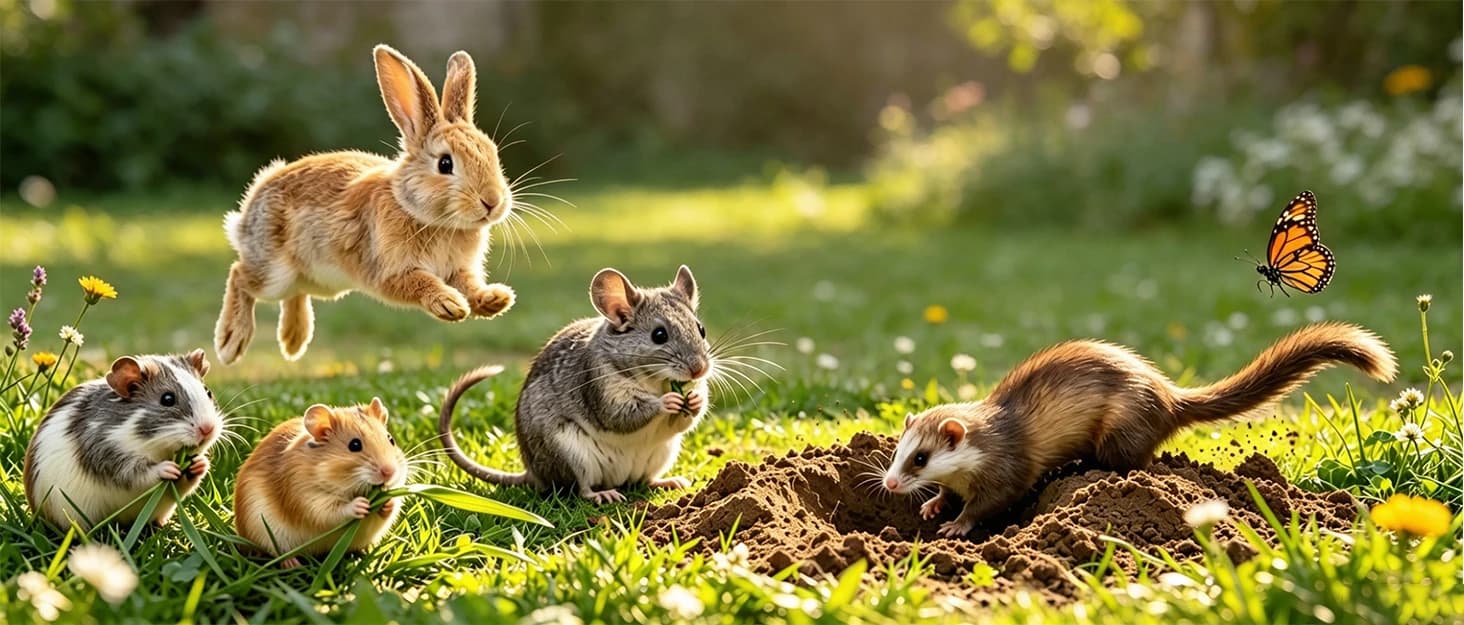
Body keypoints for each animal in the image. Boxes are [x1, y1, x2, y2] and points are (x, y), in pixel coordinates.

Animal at [215, 44, 517, 365]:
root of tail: (252, 204)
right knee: (239, 275)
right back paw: (231, 341)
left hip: (316, 283)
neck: (428, 217)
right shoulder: (387, 269)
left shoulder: (457, 269)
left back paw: (294, 339)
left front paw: (494, 299)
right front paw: (449, 303)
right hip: (274, 272)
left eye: (493, 153)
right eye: (445, 164)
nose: (493, 201)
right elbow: (420, 282)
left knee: (294, 294)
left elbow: (469, 284)